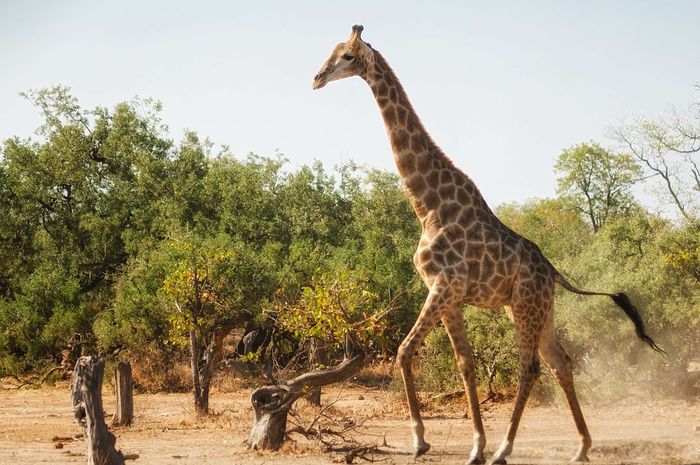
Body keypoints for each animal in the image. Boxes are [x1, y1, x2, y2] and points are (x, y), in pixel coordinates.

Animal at [312, 26, 660, 464]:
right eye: (332, 51)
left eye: (346, 56)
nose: (317, 78)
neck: (427, 205)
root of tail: (553, 272)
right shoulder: (447, 294)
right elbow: (467, 363)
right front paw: (474, 445)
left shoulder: (444, 286)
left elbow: (405, 351)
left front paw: (421, 440)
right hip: (533, 309)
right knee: (561, 362)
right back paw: (581, 446)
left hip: (526, 306)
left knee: (531, 368)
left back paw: (505, 449)